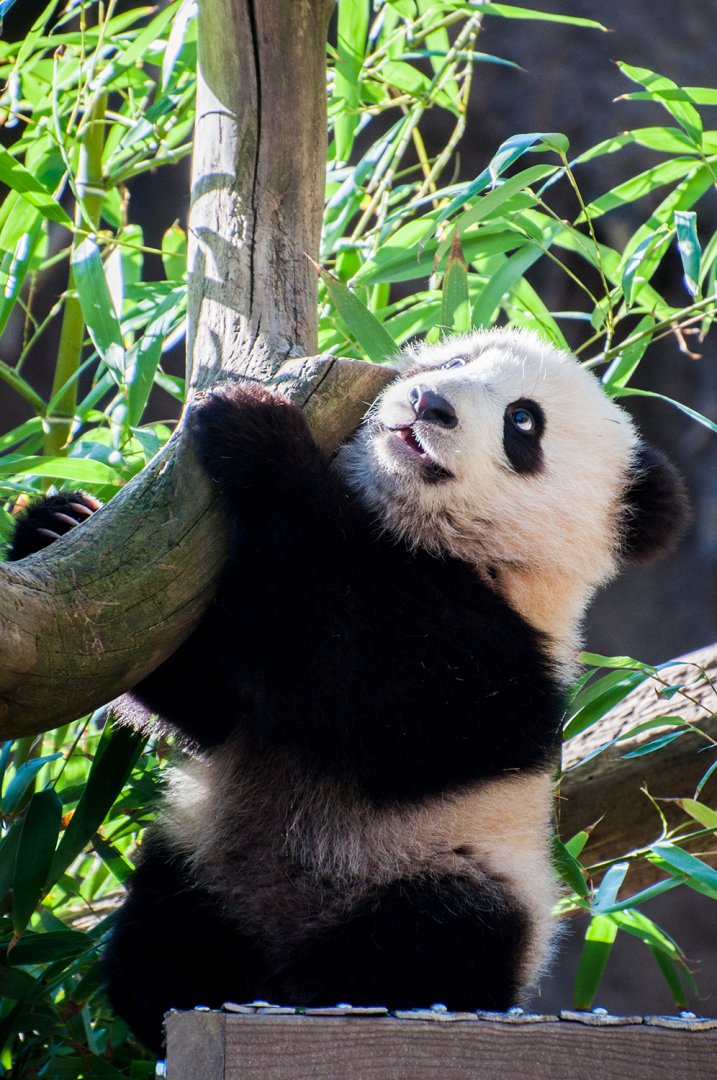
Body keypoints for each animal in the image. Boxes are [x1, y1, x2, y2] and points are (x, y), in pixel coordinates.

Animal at [8, 329, 688, 1053]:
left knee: (434, 939)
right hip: (198, 862)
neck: (431, 540)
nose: (428, 402)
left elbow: (350, 674)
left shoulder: (498, 662)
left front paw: (257, 430)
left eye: (523, 421)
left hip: (445, 869)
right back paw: (182, 989)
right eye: (455, 361)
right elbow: (215, 693)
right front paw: (54, 520)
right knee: (162, 936)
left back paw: (342, 998)